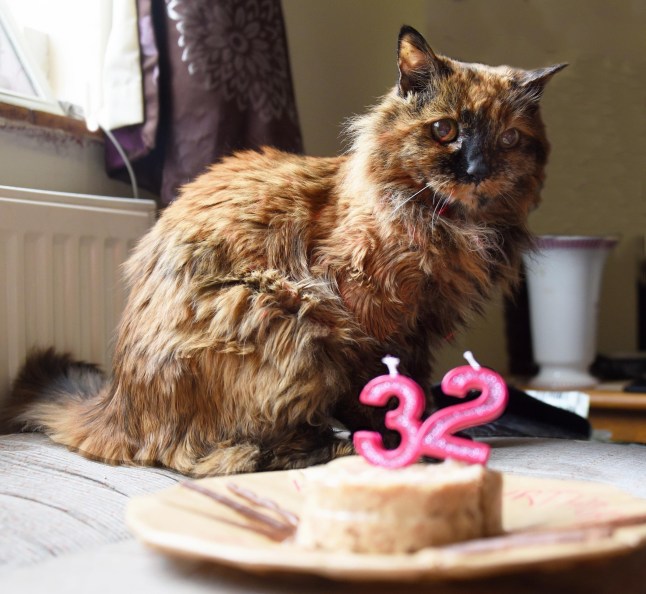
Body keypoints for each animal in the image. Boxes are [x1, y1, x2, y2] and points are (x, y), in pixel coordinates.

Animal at [2, 25, 564, 474]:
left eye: (508, 139)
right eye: (444, 129)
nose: (476, 169)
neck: (449, 227)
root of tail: (116, 405)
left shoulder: (421, 328)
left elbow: (414, 384)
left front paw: (431, 427)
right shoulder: (365, 313)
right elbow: (374, 389)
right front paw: (393, 438)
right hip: (290, 311)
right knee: (210, 456)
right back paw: (329, 445)